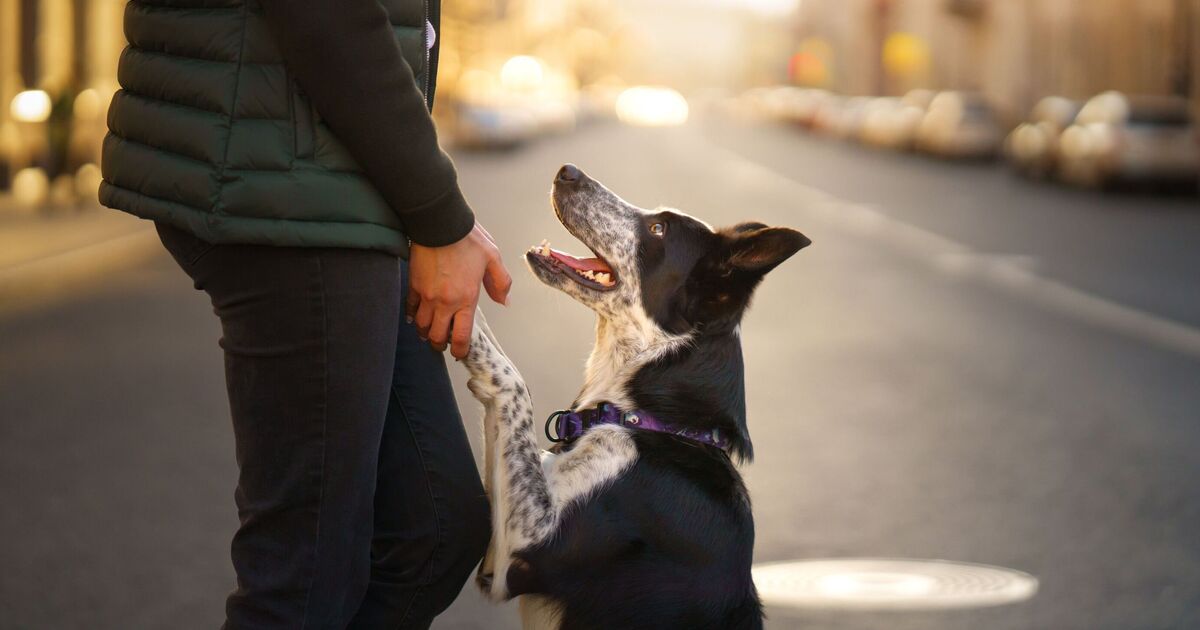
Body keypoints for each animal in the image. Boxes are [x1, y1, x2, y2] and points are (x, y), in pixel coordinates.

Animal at [463, 164, 811, 624]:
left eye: (659, 229)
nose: (568, 171)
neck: (656, 423)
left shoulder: (522, 552)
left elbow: (514, 384)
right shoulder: (492, 555)